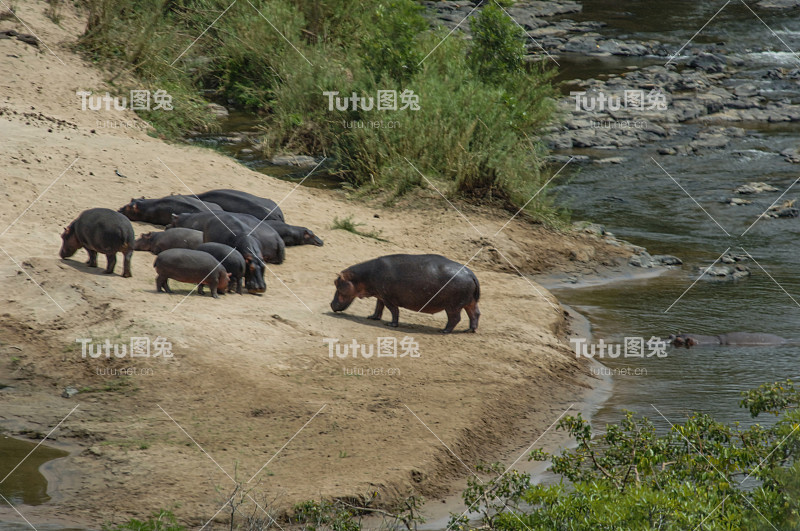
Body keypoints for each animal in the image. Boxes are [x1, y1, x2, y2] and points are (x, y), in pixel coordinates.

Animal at [332, 254, 482, 332]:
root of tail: (471, 274)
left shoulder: (388, 298)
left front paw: (391, 325)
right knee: (475, 314)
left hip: (453, 306)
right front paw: (372, 317)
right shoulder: (380, 295)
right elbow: (378, 307)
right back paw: (470, 330)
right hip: (469, 302)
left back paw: (444, 331)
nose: (331, 304)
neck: (361, 278)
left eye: (336, 283)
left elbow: (393, 311)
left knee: (455, 318)